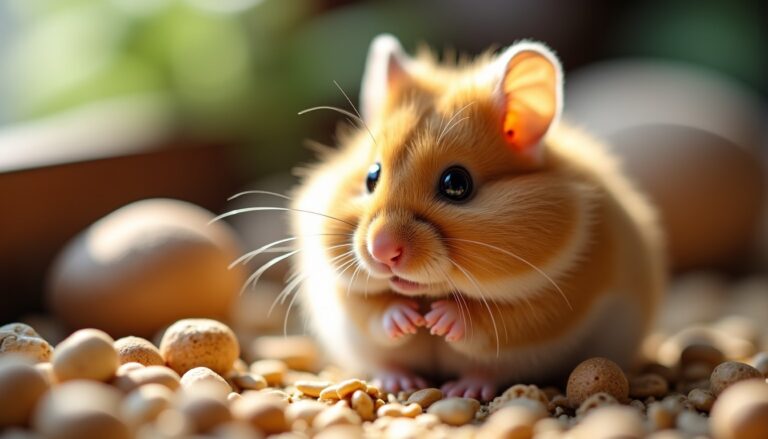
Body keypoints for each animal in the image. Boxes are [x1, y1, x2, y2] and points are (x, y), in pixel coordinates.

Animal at [290, 34, 665, 401]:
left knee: (489, 370)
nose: (381, 251)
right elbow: (369, 307)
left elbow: (502, 320)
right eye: (371, 176)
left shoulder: (566, 293)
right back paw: (400, 381)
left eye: (456, 184)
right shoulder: (340, 289)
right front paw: (409, 321)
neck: (431, 292)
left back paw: (463, 388)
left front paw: (439, 321)